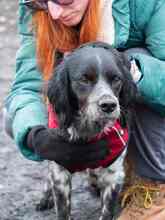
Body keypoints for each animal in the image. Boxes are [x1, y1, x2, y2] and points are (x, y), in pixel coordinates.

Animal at [38, 42, 137, 219]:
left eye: (116, 79)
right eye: (84, 79)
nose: (109, 105)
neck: (89, 132)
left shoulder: (114, 175)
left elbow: (107, 211)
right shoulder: (60, 171)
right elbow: (62, 209)